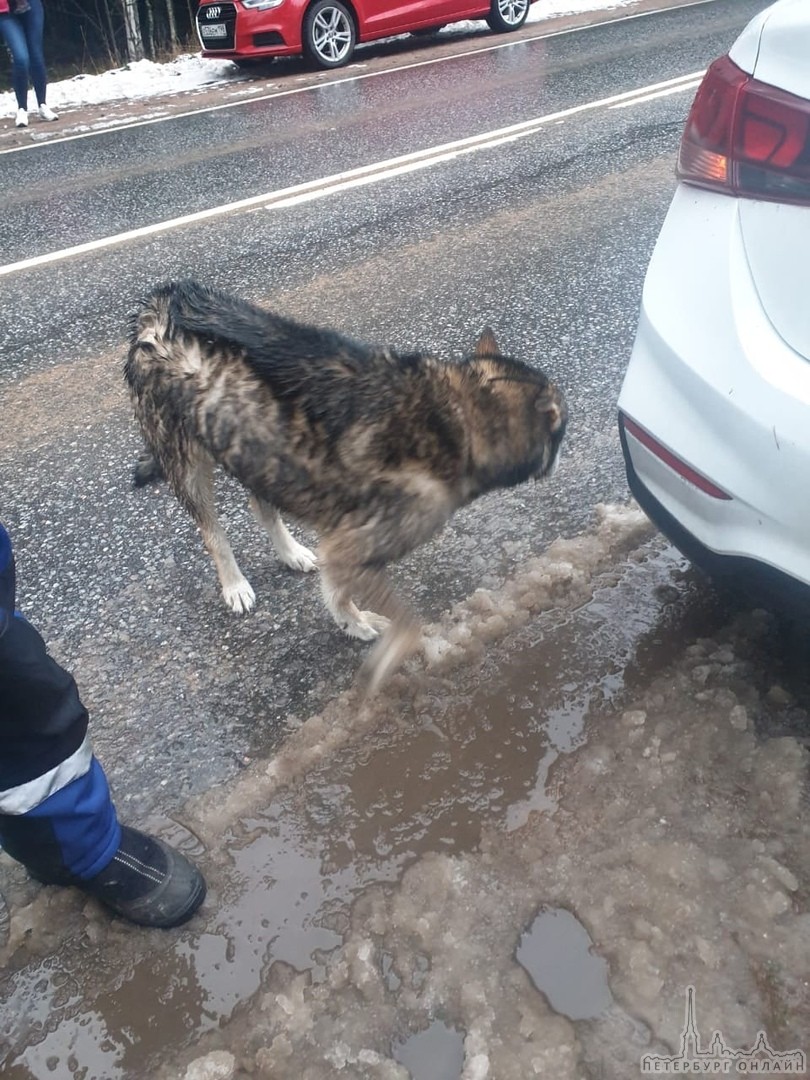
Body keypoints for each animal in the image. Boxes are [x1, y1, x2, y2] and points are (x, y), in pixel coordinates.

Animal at [126, 280, 565, 691]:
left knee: (262, 507)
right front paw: (385, 650)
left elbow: (338, 594)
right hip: (192, 463)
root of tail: (161, 301)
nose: (561, 454)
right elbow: (406, 621)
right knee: (213, 533)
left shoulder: (343, 552)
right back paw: (234, 583)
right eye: (560, 433)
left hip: (256, 450)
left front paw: (351, 623)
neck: (456, 416)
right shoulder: (350, 548)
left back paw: (290, 552)